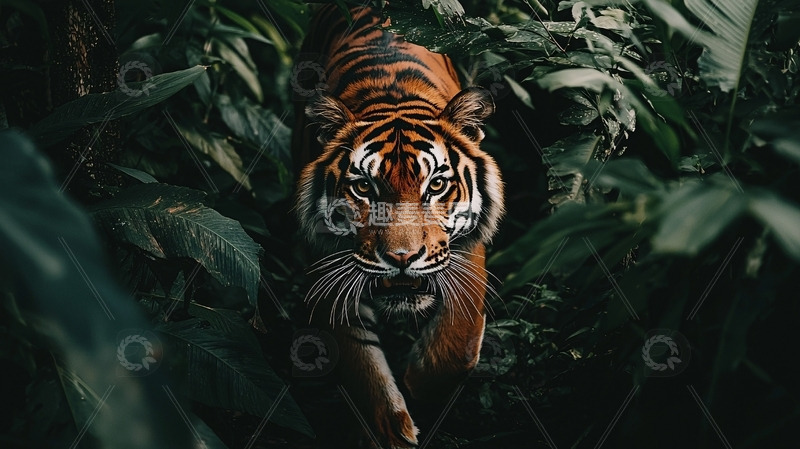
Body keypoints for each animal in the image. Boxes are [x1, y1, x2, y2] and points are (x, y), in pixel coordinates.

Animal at [292, 5, 504, 448]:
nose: (402, 258)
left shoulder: (466, 250)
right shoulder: (328, 266)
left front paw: (419, 384)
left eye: (436, 185)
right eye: (363, 187)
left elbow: (458, 341)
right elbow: (360, 365)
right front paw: (392, 430)